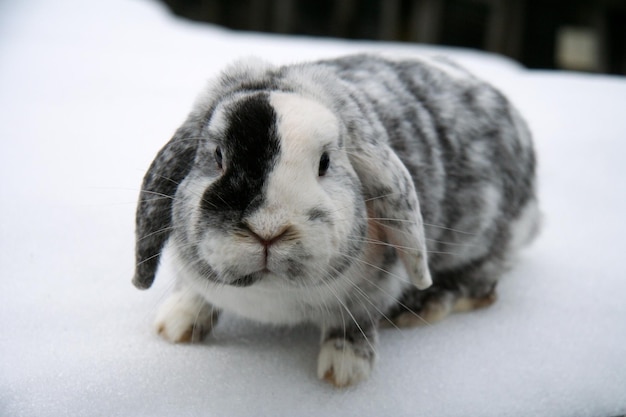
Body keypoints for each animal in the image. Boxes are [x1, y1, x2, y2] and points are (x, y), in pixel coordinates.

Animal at [130, 52, 536, 386]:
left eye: (325, 163)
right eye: (217, 156)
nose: (267, 230)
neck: (271, 294)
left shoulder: (372, 293)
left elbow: (354, 323)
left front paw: (345, 370)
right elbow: (194, 293)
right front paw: (175, 325)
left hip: (489, 244)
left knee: (482, 286)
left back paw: (425, 306)